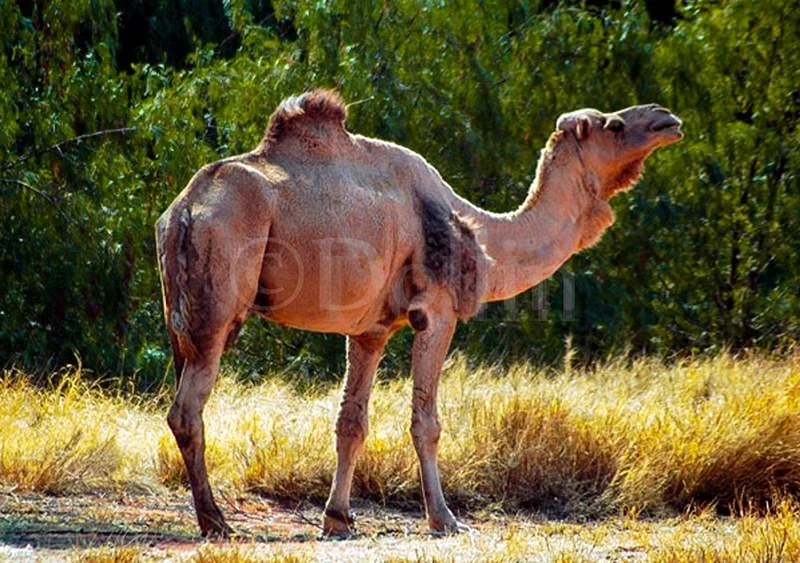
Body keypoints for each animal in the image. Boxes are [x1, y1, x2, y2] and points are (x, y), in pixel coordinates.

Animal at [155, 90, 682, 537]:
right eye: (613, 124)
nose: (667, 118)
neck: (482, 236)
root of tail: (184, 211)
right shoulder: (437, 310)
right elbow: (426, 423)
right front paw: (444, 518)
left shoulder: (369, 329)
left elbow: (351, 422)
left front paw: (338, 519)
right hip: (218, 300)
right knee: (187, 410)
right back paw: (216, 522)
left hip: (178, 316)